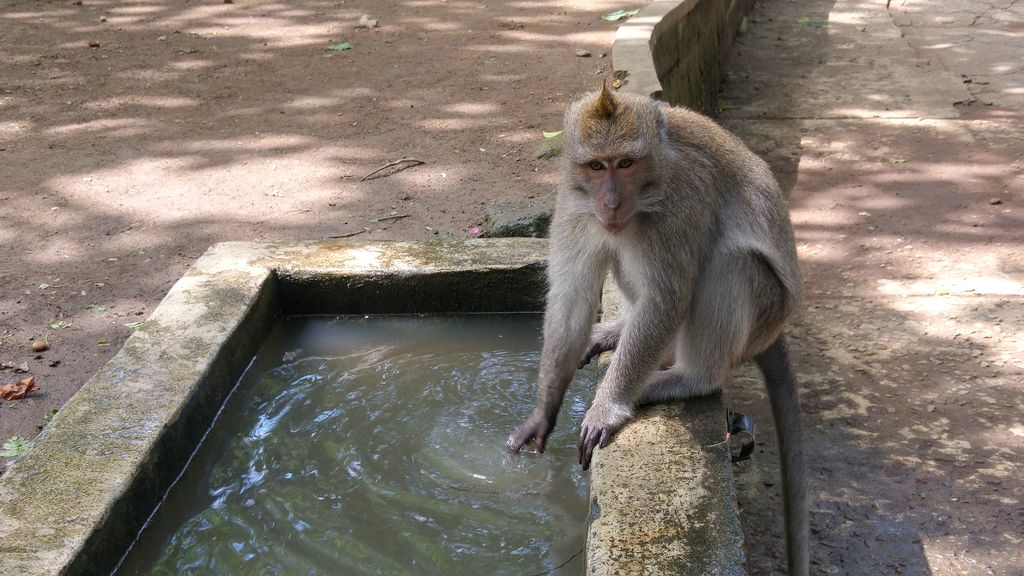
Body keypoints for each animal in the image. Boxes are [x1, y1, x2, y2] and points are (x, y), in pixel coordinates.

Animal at [503, 85, 806, 573]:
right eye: (596, 166)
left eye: (626, 163)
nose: (610, 203)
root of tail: (777, 325)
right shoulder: (574, 201)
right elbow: (571, 300)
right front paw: (543, 412)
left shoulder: (680, 203)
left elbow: (667, 299)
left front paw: (608, 407)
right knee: (620, 248)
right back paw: (632, 339)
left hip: (765, 309)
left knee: (727, 263)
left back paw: (686, 377)